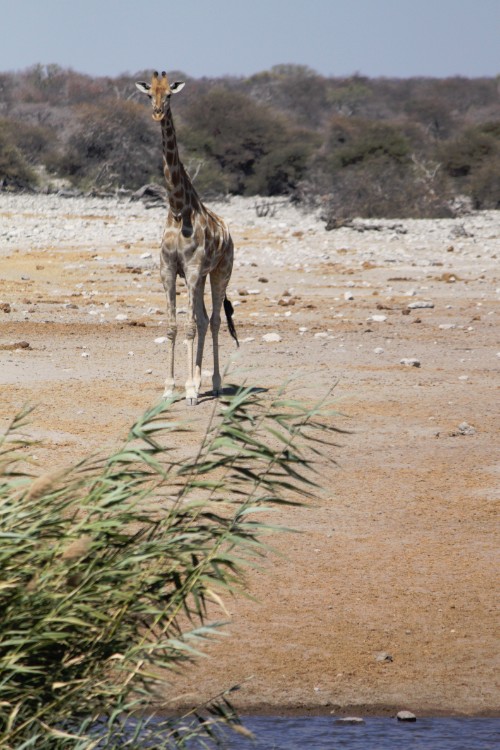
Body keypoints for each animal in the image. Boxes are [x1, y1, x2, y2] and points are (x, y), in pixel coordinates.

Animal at [135, 72, 238, 406]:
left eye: (169, 95)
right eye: (149, 94)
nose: (157, 113)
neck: (179, 210)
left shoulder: (191, 271)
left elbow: (190, 326)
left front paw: (191, 391)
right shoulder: (168, 271)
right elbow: (173, 327)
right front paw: (171, 388)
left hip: (220, 272)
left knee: (214, 320)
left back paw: (214, 384)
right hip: (203, 276)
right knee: (205, 319)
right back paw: (198, 380)